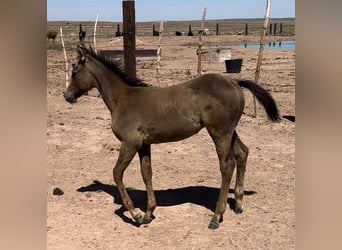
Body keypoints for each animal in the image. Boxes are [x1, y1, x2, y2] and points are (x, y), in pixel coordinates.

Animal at [64, 44, 280, 229]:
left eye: (74, 73)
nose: (67, 96)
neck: (123, 100)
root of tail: (234, 81)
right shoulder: (144, 145)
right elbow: (146, 173)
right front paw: (148, 214)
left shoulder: (130, 143)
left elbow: (117, 173)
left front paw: (135, 214)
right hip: (229, 131)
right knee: (242, 153)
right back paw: (238, 205)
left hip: (219, 132)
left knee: (227, 166)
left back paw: (216, 217)